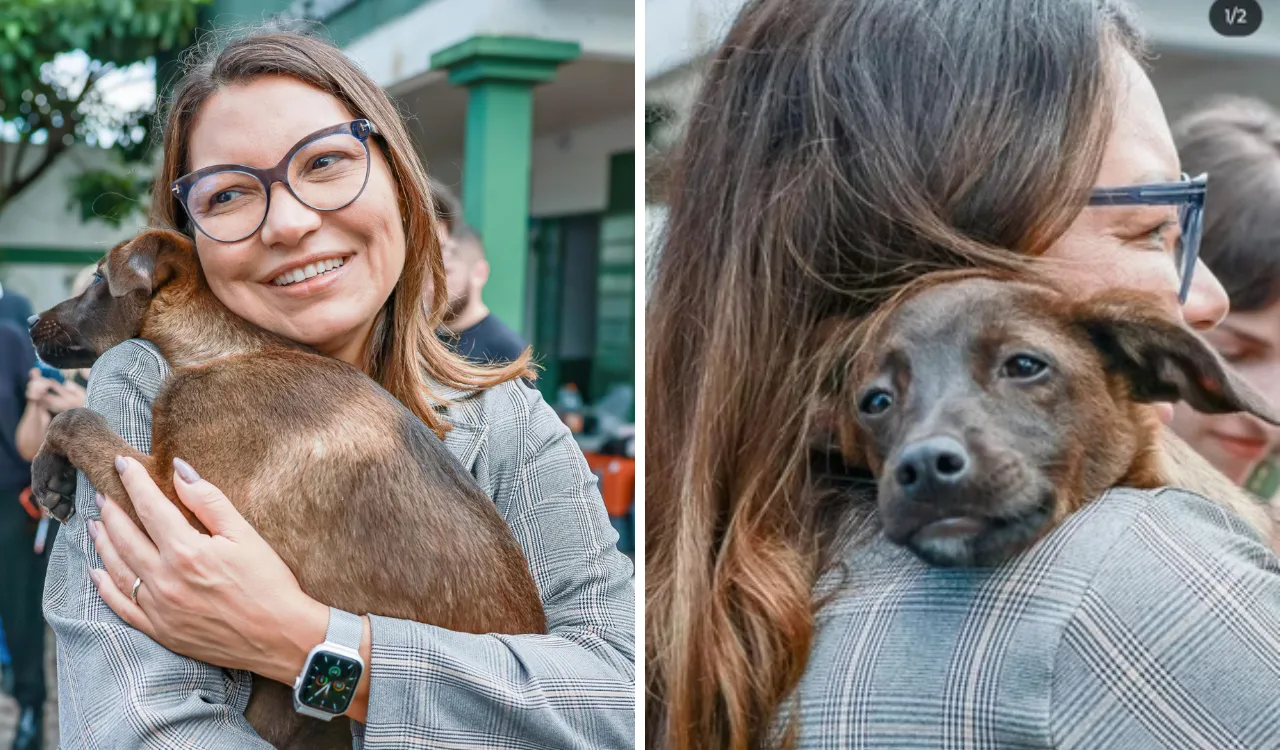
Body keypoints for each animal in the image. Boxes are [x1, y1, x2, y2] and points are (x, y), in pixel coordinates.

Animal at [26, 230, 545, 742]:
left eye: (97, 278)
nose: (30, 320)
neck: (228, 348)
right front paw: (52, 476)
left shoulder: (178, 508)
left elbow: (75, 418)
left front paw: (48, 469)